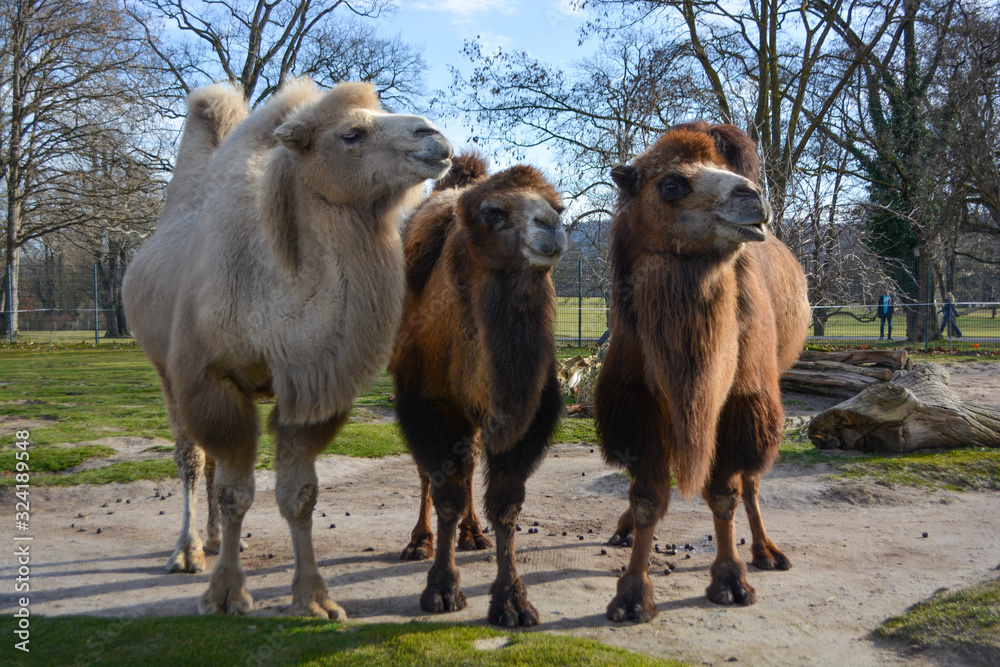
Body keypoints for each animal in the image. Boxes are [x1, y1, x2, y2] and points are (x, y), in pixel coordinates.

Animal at [122, 78, 452, 618]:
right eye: (351, 133)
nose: (435, 137)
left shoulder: (310, 384)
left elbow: (299, 495)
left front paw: (315, 600)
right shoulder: (209, 378)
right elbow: (235, 492)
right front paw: (226, 595)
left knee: (209, 462)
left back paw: (215, 540)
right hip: (164, 371)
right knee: (190, 457)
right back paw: (188, 552)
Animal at [390, 150, 567, 627]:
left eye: (559, 207)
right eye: (494, 212)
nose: (551, 226)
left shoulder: (526, 416)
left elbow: (506, 504)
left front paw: (512, 601)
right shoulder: (429, 405)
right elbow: (445, 492)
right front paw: (441, 590)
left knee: (468, 461)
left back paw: (473, 535)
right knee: (432, 474)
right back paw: (418, 541)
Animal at [594, 121, 810, 622]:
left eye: (728, 170)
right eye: (672, 183)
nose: (753, 198)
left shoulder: (739, 398)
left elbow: (725, 492)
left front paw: (731, 581)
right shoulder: (638, 401)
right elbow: (648, 496)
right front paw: (632, 595)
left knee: (751, 478)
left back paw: (767, 552)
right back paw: (623, 529)